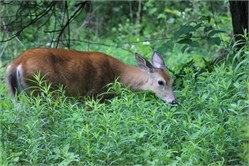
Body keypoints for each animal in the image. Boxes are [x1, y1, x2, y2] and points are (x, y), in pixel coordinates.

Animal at [5, 48, 177, 104]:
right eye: (161, 82)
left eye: (172, 81)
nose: (174, 101)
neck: (118, 76)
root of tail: (16, 63)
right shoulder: (93, 96)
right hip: (42, 92)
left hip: (18, 95)